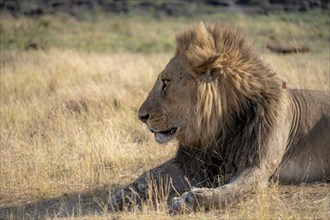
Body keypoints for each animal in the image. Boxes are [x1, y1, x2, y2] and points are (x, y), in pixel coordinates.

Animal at [111, 21, 330, 213]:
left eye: (166, 83)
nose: (141, 116)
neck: (220, 127)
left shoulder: (258, 165)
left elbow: (229, 192)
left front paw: (188, 201)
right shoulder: (194, 163)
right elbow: (151, 174)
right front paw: (126, 194)